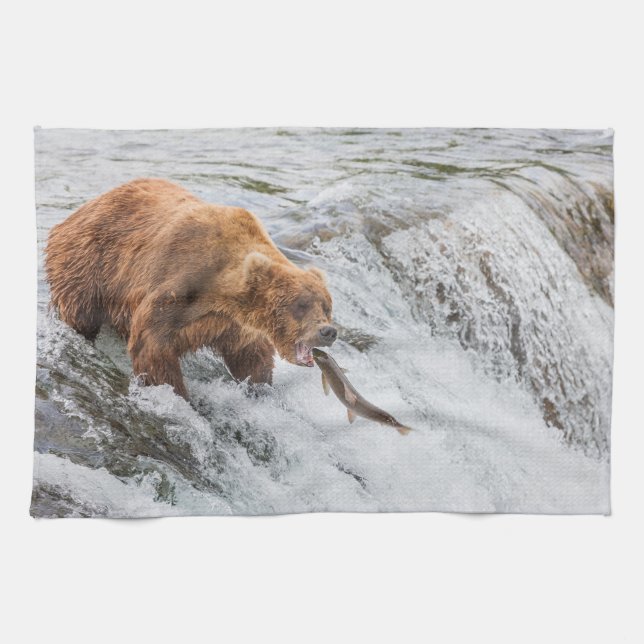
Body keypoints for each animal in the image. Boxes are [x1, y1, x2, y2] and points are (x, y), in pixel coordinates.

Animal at [45, 178, 337, 399]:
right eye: (300, 305)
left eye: (326, 307)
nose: (328, 331)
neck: (221, 290)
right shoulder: (177, 287)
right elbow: (152, 345)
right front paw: (177, 394)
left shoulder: (232, 324)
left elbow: (251, 355)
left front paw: (260, 385)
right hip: (88, 265)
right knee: (80, 314)